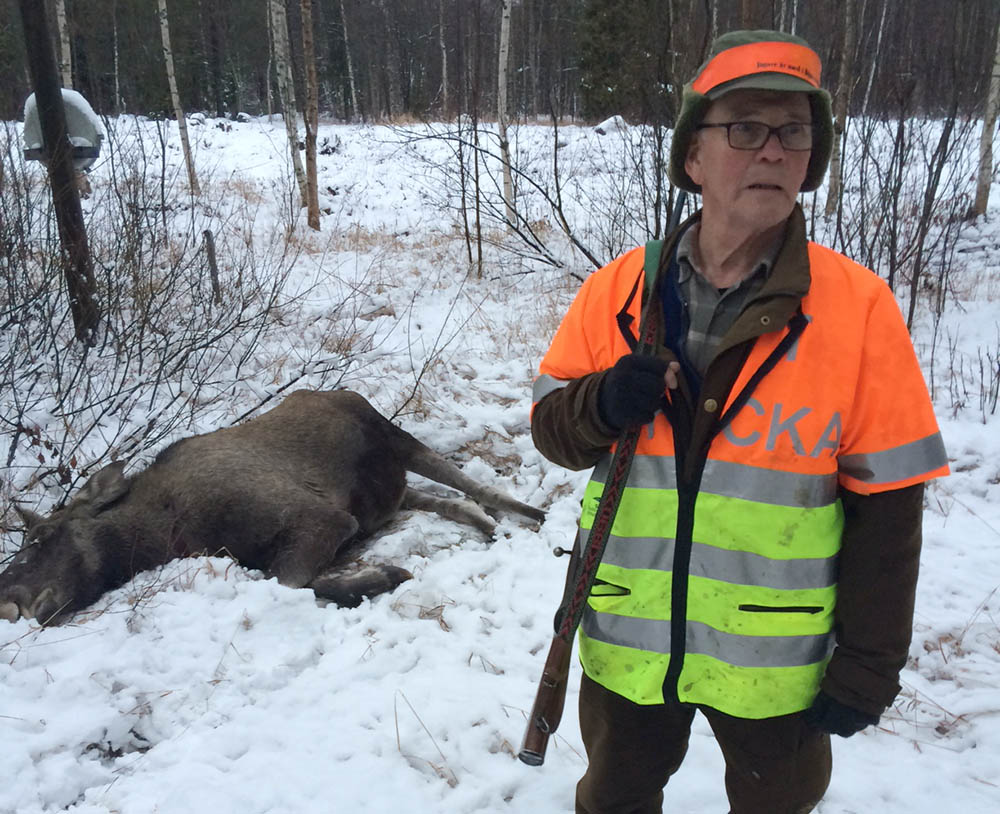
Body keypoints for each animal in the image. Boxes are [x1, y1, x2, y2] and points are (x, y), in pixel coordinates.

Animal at [1, 388, 548, 624]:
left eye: (41, 536)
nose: (9, 598)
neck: (165, 530)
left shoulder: (323, 518)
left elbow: (292, 582)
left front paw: (386, 575)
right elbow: (299, 581)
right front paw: (381, 575)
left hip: (398, 439)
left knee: (478, 487)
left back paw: (534, 519)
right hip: (390, 497)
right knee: (451, 503)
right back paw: (486, 524)